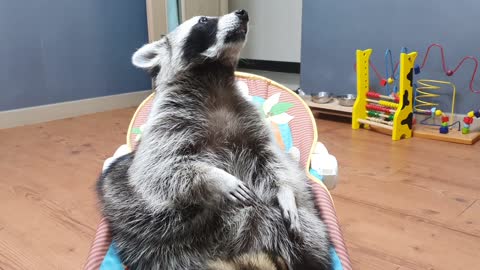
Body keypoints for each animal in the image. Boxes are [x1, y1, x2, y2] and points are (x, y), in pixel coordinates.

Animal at [95, 9, 332, 268]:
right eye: (204, 20)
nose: (243, 13)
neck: (214, 74)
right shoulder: (167, 123)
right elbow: (160, 168)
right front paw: (216, 178)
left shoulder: (249, 119)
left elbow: (271, 160)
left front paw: (284, 191)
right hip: (140, 224)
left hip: (289, 221)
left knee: (307, 234)